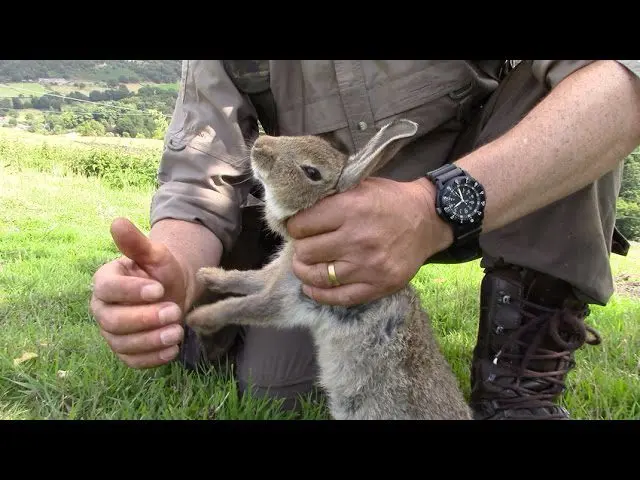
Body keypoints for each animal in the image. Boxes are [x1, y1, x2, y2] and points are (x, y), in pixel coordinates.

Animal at [182, 117, 472, 420]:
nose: (260, 144)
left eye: (311, 172)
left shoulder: (291, 298)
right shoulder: (275, 276)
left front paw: (200, 317)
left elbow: (246, 307)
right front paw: (208, 275)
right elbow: (247, 279)